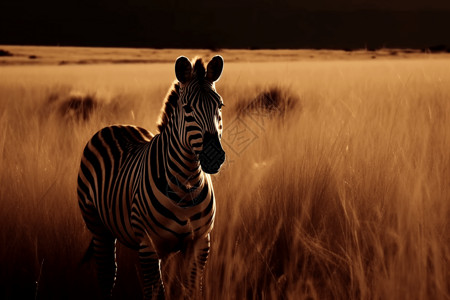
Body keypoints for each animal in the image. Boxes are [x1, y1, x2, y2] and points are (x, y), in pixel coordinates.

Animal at [77, 55, 227, 298]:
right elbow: (156, 294)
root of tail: (115, 126)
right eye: (187, 108)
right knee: (107, 274)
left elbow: (192, 290)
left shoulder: (200, 243)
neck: (186, 183)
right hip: (98, 226)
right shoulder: (148, 245)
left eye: (220, 105)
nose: (214, 156)